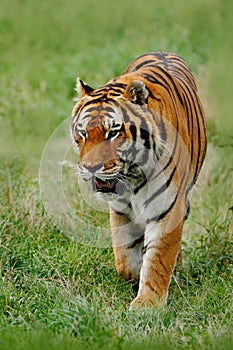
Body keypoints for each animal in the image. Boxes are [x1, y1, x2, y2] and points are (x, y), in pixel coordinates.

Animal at [70, 51, 207, 306]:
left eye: (113, 133)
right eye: (82, 133)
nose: (91, 168)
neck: (132, 175)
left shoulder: (167, 208)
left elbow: (159, 260)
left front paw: (147, 305)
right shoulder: (120, 209)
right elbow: (124, 258)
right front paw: (135, 276)